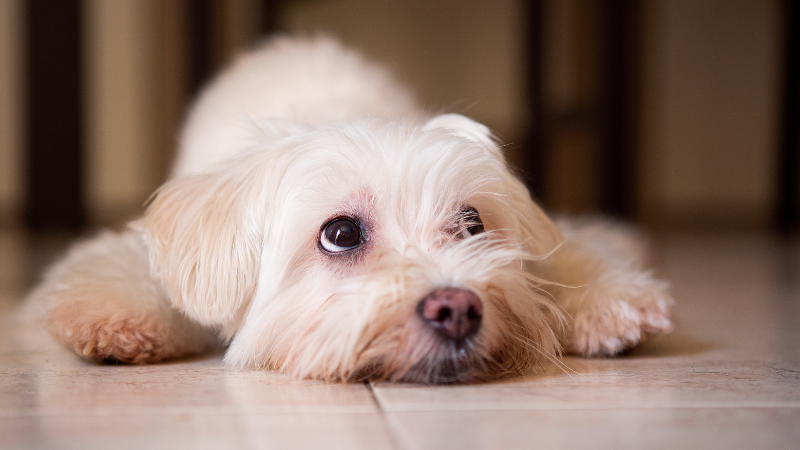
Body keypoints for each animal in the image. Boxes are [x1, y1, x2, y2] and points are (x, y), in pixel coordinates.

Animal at [31, 36, 672, 384]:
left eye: (472, 224)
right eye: (339, 233)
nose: (457, 309)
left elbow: (567, 252)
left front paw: (606, 299)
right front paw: (113, 319)